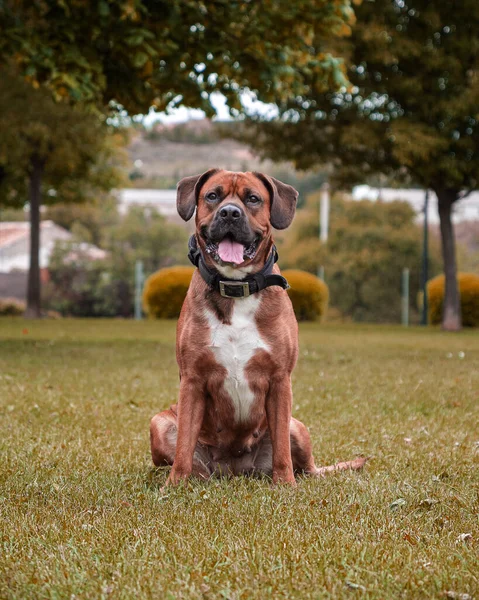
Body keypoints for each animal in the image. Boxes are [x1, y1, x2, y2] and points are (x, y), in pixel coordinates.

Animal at [151, 169, 368, 488]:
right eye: (212, 196)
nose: (230, 212)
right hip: (160, 422)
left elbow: (281, 449)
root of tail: (234, 470)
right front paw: (174, 485)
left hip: (297, 427)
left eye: (253, 198)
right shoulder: (192, 380)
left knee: (308, 466)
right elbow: (183, 446)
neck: (236, 287)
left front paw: (285, 484)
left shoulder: (279, 381)